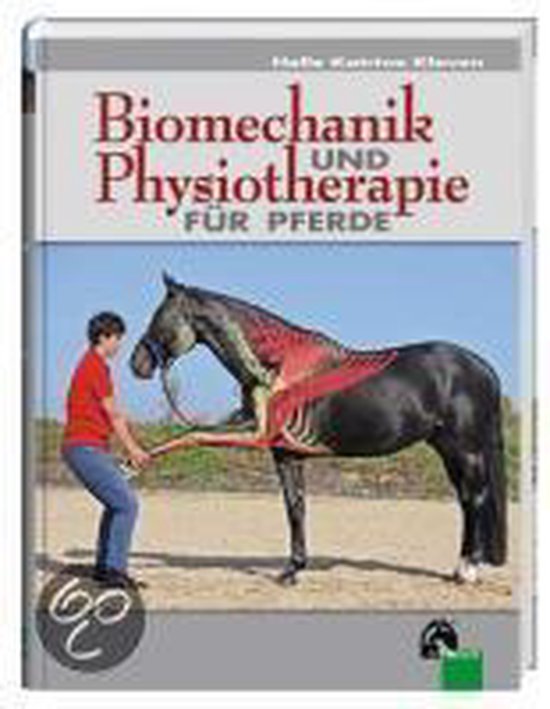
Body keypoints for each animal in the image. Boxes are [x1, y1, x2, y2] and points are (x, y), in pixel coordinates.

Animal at [130, 272, 507, 586]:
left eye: (158, 317)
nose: (137, 364)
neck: (275, 367)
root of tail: (483, 367)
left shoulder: (256, 434)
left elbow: (191, 435)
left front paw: (133, 463)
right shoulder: (284, 451)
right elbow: (295, 507)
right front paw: (293, 569)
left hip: (466, 450)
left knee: (475, 498)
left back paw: (466, 571)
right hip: (449, 450)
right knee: (465, 500)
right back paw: (461, 568)